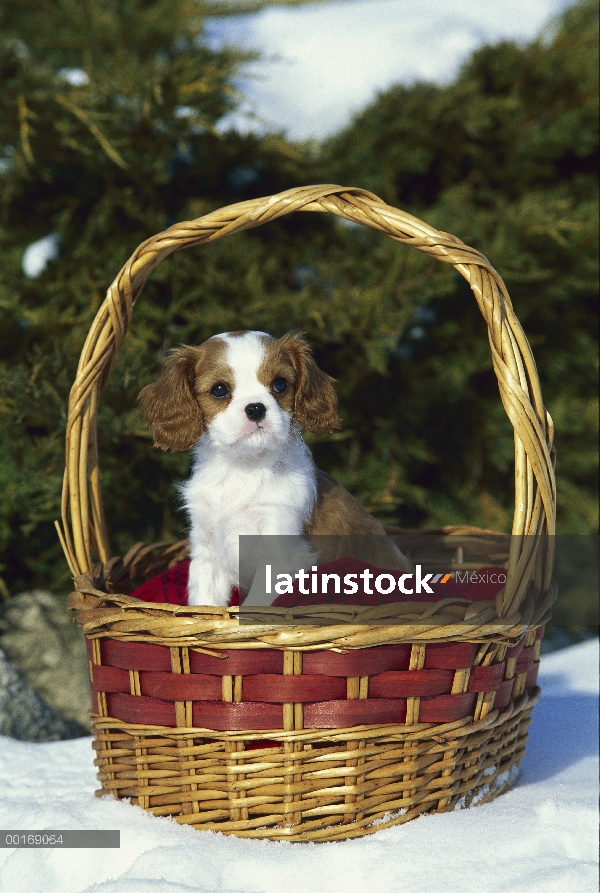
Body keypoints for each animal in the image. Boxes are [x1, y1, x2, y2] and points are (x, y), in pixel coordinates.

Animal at [141, 332, 408, 608]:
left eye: (280, 384)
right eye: (219, 390)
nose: (256, 408)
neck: (244, 467)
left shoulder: (281, 552)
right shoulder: (207, 550)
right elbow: (204, 600)